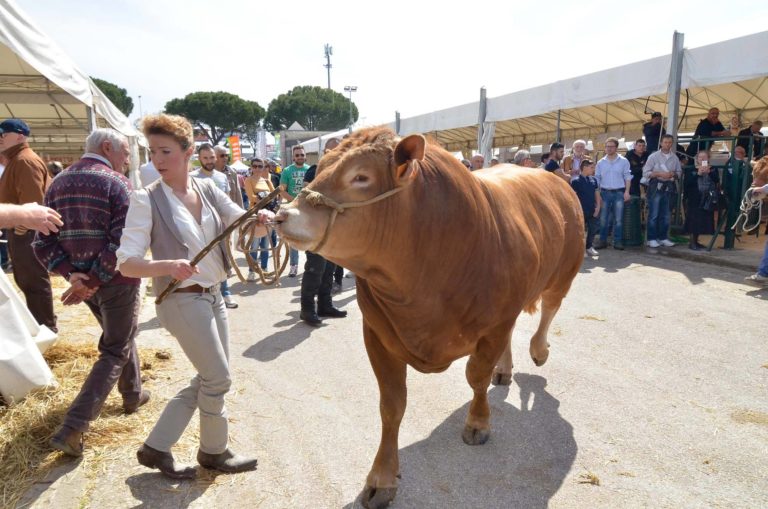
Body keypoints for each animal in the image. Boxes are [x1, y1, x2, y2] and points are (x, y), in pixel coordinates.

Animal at [276, 127, 584, 504]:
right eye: (319, 169)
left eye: (361, 177)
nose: (281, 215)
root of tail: (552, 177)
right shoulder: (377, 333)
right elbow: (392, 405)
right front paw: (381, 478)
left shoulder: (494, 324)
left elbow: (476, 376)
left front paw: (478, 422)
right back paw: (505, 368)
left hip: (566, 268)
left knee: (550, 308)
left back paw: (539, 351)